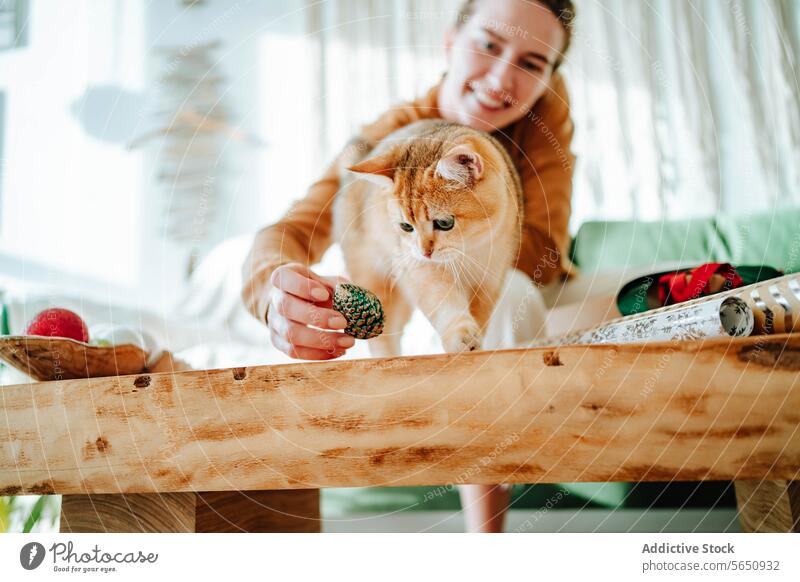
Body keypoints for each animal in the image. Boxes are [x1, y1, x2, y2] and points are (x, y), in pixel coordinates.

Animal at [334, 120, 520, 358]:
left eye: (444, 223)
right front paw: (460, 336)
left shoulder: (490, 279)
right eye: (406, 227)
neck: (468, 250)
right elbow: (445, 304)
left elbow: (481, 314)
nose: (425, 252)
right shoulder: (421, 270)